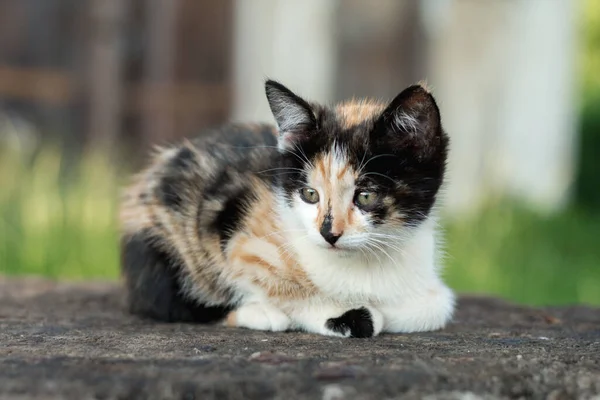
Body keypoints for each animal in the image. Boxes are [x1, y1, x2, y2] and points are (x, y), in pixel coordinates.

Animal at [118, 79, 454, 338]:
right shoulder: (238, 227)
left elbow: (438, 305)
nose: (328, 233)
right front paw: (333, 312)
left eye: (366, 196)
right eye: (309, 194)